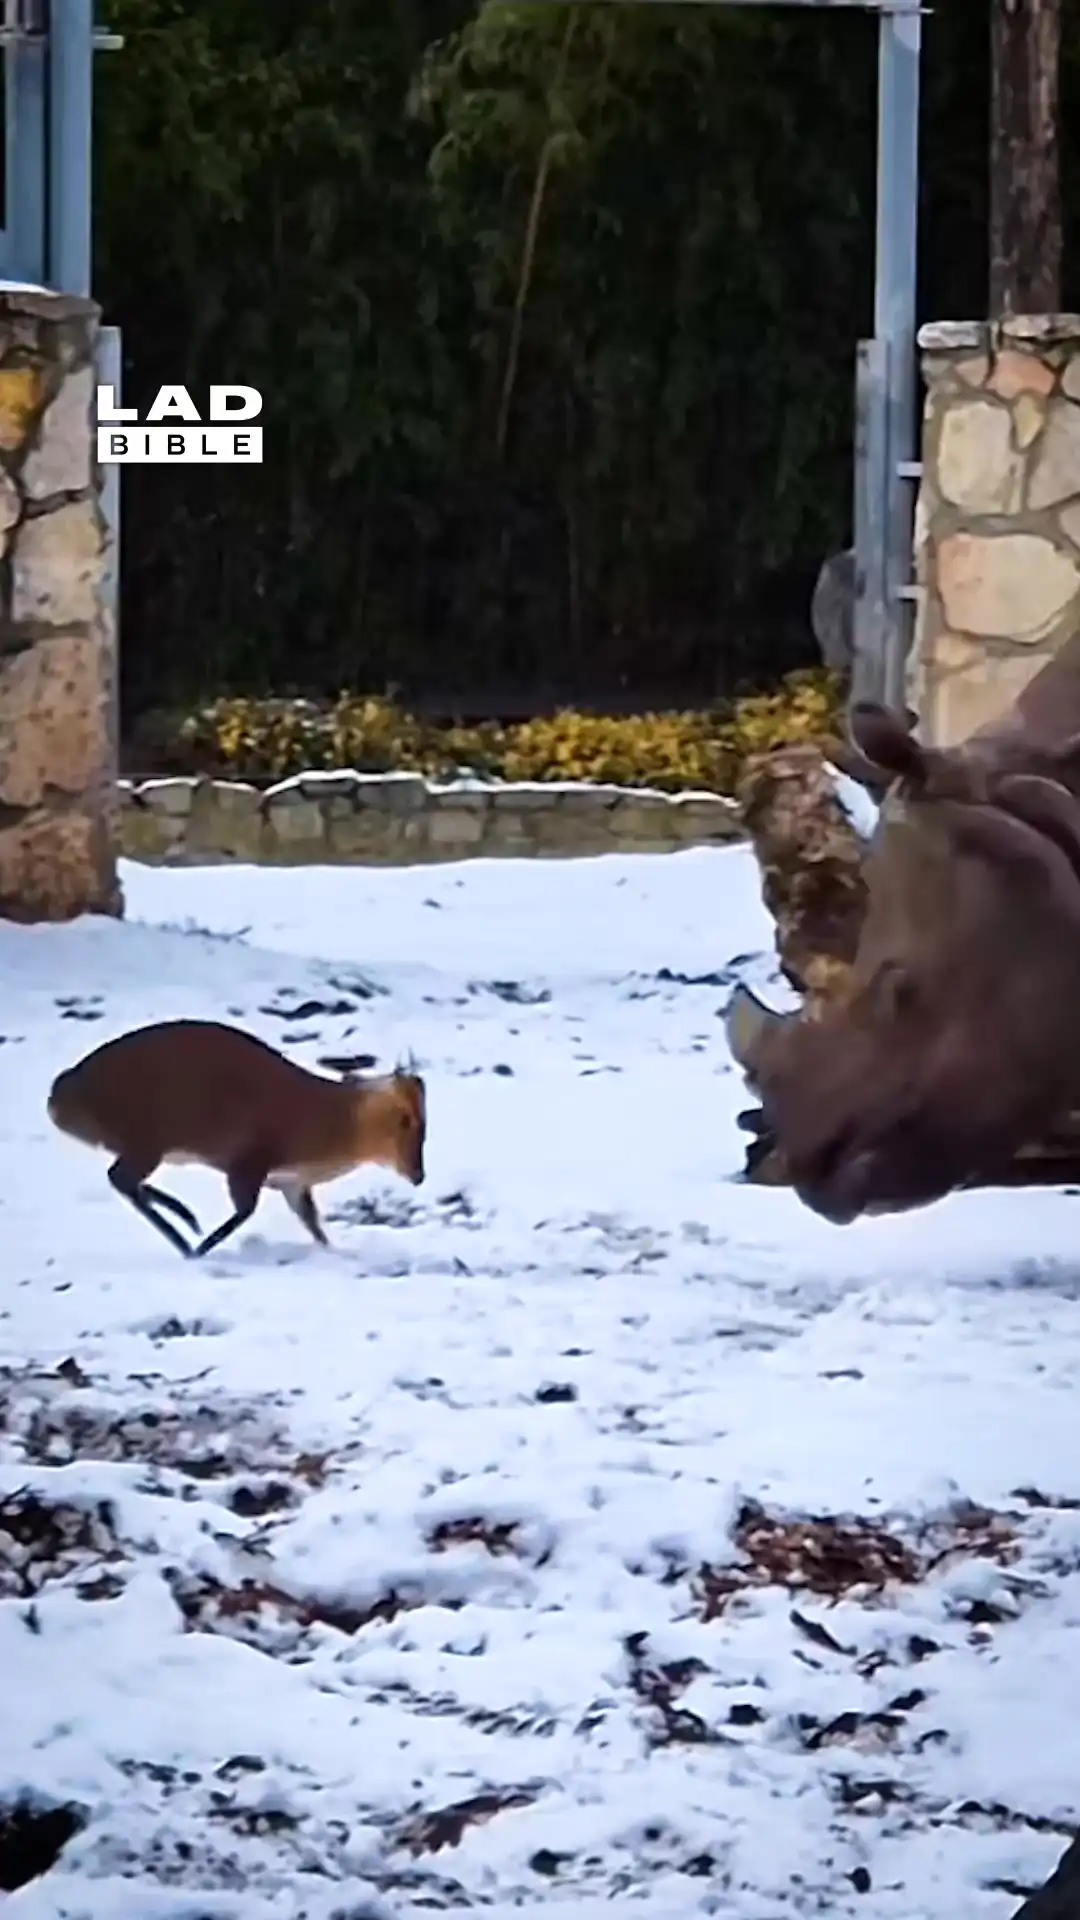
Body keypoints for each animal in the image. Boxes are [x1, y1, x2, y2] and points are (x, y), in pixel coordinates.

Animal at [47, 1018, 426, 1258]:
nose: (418, 1175)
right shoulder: (248, 1162)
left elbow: (314, 1226)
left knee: (123, 1180)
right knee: (121, 1178)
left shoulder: (292, 1182)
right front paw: (201, 1248)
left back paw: (186, 1220)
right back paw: (186, 1239)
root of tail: (60, 1095)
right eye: (406, 1120)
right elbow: (244, 1211)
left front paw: (336, 1254)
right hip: (148, 1138)